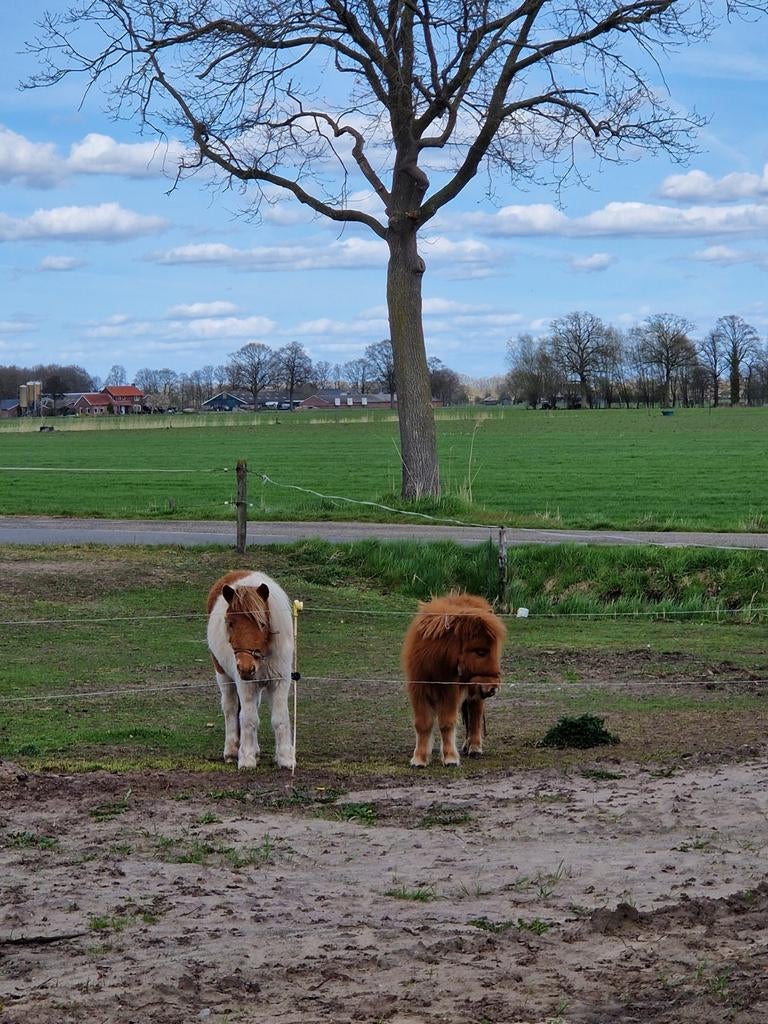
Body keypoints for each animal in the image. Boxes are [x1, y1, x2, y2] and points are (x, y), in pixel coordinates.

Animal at [206, 570, 295, 770]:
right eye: (231, 623)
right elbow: (248, 719)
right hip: (223, 675)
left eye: (262, 623)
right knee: (231, 708)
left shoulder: (280, 681)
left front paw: (286, 758)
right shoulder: (245, 684)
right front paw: (246, 758)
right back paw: (232, 751)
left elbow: (280, 719)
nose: (246, 667)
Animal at [402, 592, 506, 767]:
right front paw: (419, 759)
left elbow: (447, 723)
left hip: (475, 692)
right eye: (480, 652)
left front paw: (450, 758)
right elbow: (422, 723)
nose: (493, 687)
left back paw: (474, 748)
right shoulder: (419, 691)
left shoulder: (449, 693)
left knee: (475, 715)